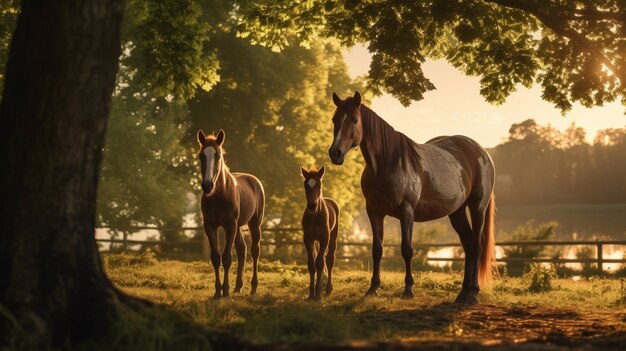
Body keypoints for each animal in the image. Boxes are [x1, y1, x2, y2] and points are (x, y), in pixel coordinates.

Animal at [195, 129, 264, 300]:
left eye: (218, 155)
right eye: (201, 155)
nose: (207, 185)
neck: (219, 194)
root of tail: (255, 181)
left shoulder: (230, 224)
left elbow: (226, 258)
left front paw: (225, 291)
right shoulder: (210, 226)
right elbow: (216, 257)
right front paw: (217, 291)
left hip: (254, 224)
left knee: (254, 250)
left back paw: (253, 287)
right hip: (238, 227)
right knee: (241, 249)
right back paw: (238, 287)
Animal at [300, 166, 338, 302]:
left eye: (319, 185)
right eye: (306, 185)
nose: (312, 206)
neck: (315, 216)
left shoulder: (324, 238)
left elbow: (320, 263)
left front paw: (318, 294)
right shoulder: (308, 239)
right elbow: (312, 264)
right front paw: (311, 294)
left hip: (333, 237)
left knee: (330, 260)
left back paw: (328, 289)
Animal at [326, 91, 492, 306]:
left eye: (354, 120)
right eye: (334, 120)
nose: (335, 153)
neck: (389, 163)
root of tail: (482, 152)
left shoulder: (407, 211)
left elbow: (407, 249)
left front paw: (408, 289)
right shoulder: (374, 212)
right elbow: (377, 249)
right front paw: (373, 288)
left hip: (477, 207)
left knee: (477, 243)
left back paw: (472, 293)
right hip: (457, 211)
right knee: (468, 244)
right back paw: (462, 294)